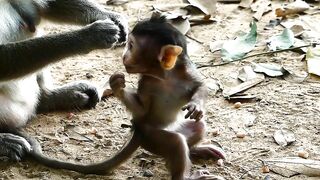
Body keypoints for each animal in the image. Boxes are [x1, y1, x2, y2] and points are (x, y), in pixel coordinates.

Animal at [29, 16, 225, 179]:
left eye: (131, 45)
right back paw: (185, 172)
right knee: (176, 143)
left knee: (198, 127)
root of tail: (138, 129)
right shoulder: (147, 83)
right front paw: (117, 85)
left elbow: (201, 86)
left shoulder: (186, 71)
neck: (166, 76)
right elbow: (142, 108)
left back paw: (195, 150)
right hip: (150, 136)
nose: (124, 55)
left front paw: (196, 105)